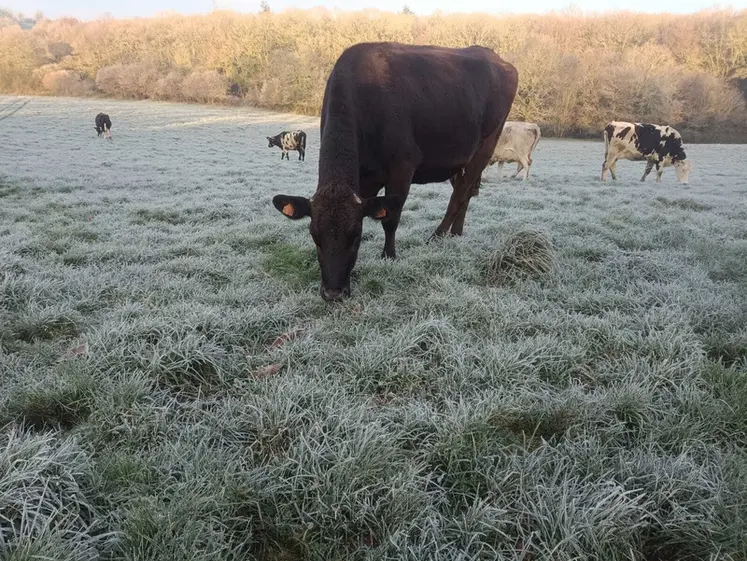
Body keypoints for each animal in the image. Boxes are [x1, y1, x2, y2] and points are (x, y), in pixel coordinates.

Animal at [271, 42, 518, 302]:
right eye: (314, 236)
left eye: (355, 236)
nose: (333, 293)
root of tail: (493, 55)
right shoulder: (365, 179)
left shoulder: (403, 166)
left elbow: (390, 218)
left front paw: (388, 256)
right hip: (459, 158)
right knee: (466, 191)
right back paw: (456, 233)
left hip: (486, 146)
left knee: (460, 194)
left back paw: (437, 236)